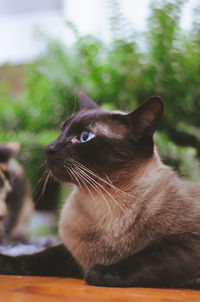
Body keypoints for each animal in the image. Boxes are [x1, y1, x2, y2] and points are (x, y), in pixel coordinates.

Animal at [0, 95, 200, 290]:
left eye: (85, 136)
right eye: (61, 131)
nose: (49, 148)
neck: (101, 200)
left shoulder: (185, 243)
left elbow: (145, 259)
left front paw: (100, 272)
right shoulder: (71, 252)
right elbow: (36, 257)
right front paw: (6, 261)